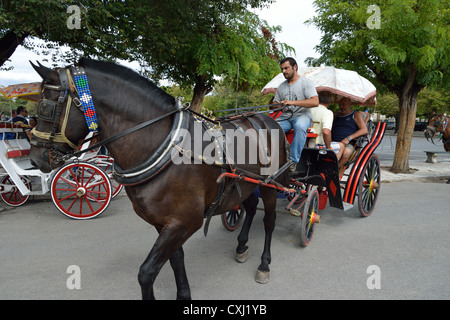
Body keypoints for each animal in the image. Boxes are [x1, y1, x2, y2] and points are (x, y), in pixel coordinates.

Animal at [29, 58, 288, 300]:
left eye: (45, 107)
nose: (35, 158)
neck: (165, 147)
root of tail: (266, 118)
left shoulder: (184, 222)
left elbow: (146, 272)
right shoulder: (164, 222)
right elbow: (176, 259)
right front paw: (183, 294)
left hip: (270, 185)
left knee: (269, 221)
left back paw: (264, 264)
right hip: (245, 185)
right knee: (251, 206)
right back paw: (242, 245)